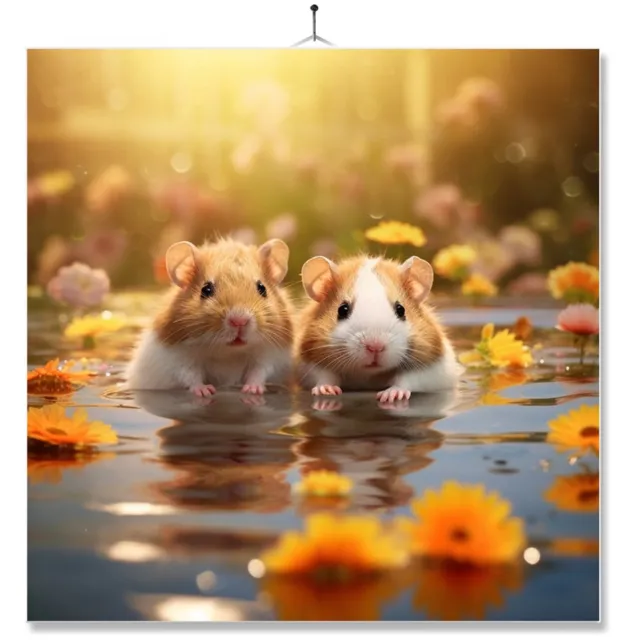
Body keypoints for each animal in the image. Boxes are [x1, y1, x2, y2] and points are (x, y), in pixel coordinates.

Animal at [125, 237, 294, 396]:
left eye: (262, 288)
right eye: (206, 290)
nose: (239, 321)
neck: (228, 353)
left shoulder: (270, 354)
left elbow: (259, 371)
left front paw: (252, 390)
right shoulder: (177, 358)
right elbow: (190, 375)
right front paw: (206, 391)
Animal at [295, 254, 463, 402]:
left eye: (401, 310)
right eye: (342, 310)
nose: (375, 347)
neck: (368, 374)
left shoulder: (430, 366)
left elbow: (407, 380)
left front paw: (389, 396)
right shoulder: (310, 362)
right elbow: (323, 376)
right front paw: (326, 391)